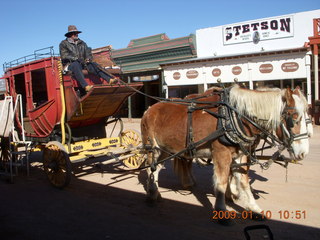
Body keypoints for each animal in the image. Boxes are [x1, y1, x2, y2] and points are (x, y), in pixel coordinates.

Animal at [141, 84, 310, 225]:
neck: (234, 116)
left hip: (165, 149)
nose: (303, 153)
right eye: (293, 117)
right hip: (153, 148)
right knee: (151, 168)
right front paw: (222, 211)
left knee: (157, 168)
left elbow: (244, 181)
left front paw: (253, 208)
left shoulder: (241, 154)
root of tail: (149, 109)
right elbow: (221, 183)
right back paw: (152, 194)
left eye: (307, 116)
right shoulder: (222, 154)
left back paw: (156, 192)